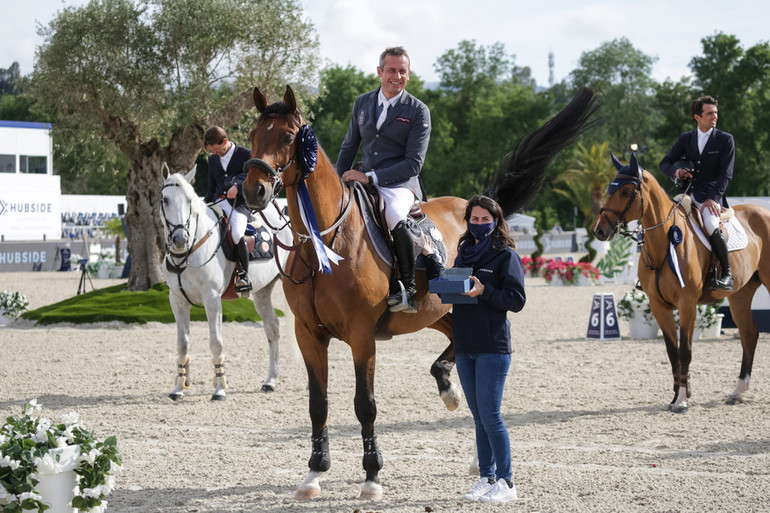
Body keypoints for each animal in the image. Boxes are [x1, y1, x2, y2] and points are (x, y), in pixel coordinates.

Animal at [160, 164, 292, 400]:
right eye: (165, 199)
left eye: (189, 200)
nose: (180, 239)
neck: (190, 250)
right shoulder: (177, 300)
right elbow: (182, 345)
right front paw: (178, 389)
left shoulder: (212, 299)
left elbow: (216, 343)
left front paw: (219, 390)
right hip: (262, 293)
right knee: (272, 328)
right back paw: (270, 380)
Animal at [243, 84, 596, 496]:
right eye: (252, 135)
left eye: (287, 137)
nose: (253, 191)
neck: (325, 239)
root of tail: (474, 205)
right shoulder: (308, 334)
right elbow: (318, 403)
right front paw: (315, 473)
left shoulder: (362, 335)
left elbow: (365, 404)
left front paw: (372, 477)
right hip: (437, 312)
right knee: (458, 348)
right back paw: (449, 391)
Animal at [592, 153, 768, 412]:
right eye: (609, 189)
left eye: (625, 191)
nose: (599, 231)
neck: (664, 242)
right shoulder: (659, 306)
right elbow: (672, 351)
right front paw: (677, 394)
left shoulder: (687, 303)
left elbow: (685, 351)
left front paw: (682, 400)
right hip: (740, 295)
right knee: (749, 335)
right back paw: (737, 392)